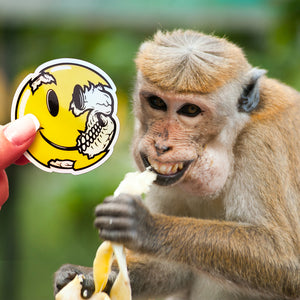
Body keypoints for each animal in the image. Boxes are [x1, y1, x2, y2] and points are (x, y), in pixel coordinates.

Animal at [54, 29, 300, 298]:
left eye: (190, 110)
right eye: (157, 103)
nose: (161, 146)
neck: (234, 136)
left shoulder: (263, 145)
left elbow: (288, 260)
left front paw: (147, 226)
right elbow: (174, 268)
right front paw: (87, 276)